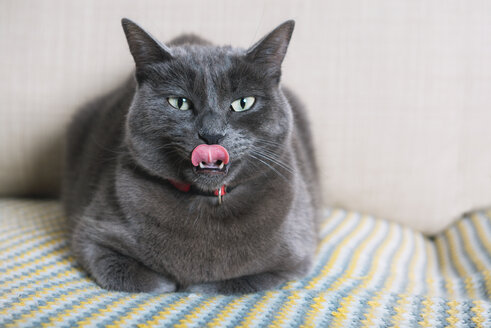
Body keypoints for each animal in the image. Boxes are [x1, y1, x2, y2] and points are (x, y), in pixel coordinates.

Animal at [61, 18, 320, 294]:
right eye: (179, 102)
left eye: (243, 103)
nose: (212, 134)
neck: (205, 202)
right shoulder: (93, 237)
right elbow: (140, 278)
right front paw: (171, 283)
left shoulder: (295, 259)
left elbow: (234, 282)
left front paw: (194, 285)